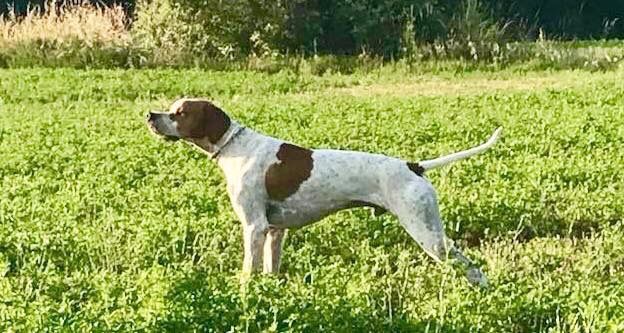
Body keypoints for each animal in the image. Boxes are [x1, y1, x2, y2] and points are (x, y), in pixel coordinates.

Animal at [147, 98, 502, 286]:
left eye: (180, 112)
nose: (150, 115)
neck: (236, 147)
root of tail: (413, 166)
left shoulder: (254, 227)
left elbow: (249, 270)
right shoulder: (274, 231)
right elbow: (271, 268)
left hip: (426, 232)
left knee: (465, 263)